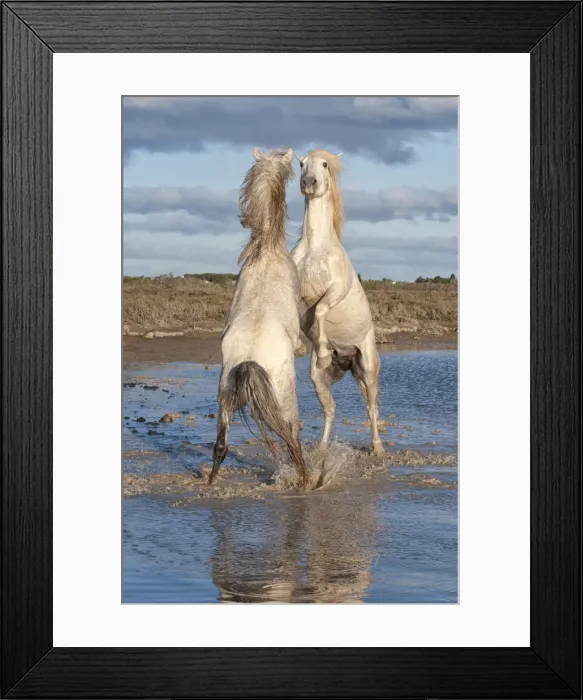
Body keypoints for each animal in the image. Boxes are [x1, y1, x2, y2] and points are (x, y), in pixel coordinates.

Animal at [209, 147, 309, 488]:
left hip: (224, 402)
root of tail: (249, 361)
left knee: (220, 446)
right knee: (292, 440)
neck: (265, 251)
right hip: (285, 400)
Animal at [291, 149, 385, 456]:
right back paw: (321, 449)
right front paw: (300, 346)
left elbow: (320, 309)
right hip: (319, 380)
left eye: (324, 165)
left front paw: (321, 350)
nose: (309, 183)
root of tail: (346, 360)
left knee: (371, 407)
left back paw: (377, 448)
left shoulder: (336, 290)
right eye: (301, 164)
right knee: (330, 410)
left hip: (368, 367)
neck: (316, 248)